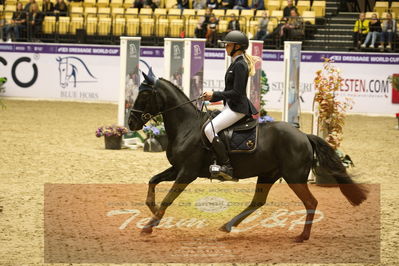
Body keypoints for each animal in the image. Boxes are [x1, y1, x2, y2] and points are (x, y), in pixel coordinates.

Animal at [128, 69, 368, 242]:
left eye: (145, 94)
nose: (131, 123)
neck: (187, 126)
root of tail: (304, 136)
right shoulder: (178, 168)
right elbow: (152, 181)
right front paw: (153, 210)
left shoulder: (187, 172)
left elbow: (168, 198)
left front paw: (149, 226)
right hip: (268, 174)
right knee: (258, 202)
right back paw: (227, 226)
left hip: (294, 176)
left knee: (311, 201)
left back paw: (302, 236)